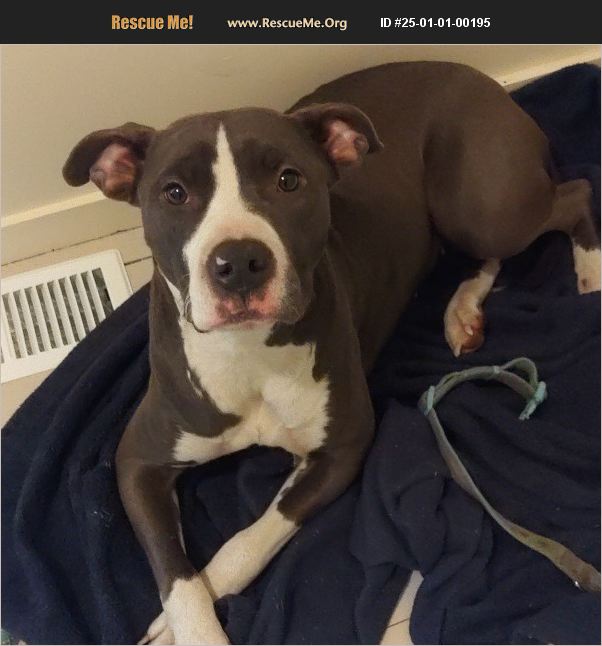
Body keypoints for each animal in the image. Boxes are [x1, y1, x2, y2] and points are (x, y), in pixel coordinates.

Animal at [63, 61, 599, 644]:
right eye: (175, 193)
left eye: (288, 180)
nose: (239, 262)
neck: (249, 352)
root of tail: (476, 77)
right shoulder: (138, 459)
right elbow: (176, 574)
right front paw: (190, 627)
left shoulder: (342, 449)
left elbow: (248, 539)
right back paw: (462, 311)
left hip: (481, 204)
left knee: (573, 193)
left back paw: (589, 275)